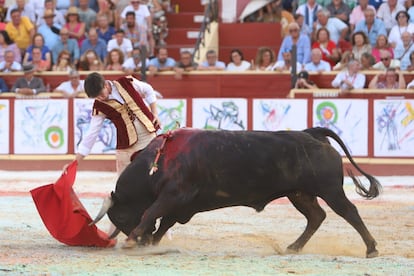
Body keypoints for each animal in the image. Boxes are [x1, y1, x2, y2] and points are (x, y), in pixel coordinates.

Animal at [93, 128, 382, 258]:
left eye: (120, 217)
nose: (139, 241)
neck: (160, 161)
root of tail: (312, 134)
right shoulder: (182, 205)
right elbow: (163, 222)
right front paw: (151, 242)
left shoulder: (174, 196)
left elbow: (152, 213)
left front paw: (134, 239)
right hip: (299, 194)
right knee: (316, 216)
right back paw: (293, 247)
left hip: (330, 190)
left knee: (349, 212)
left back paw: (371, 248)